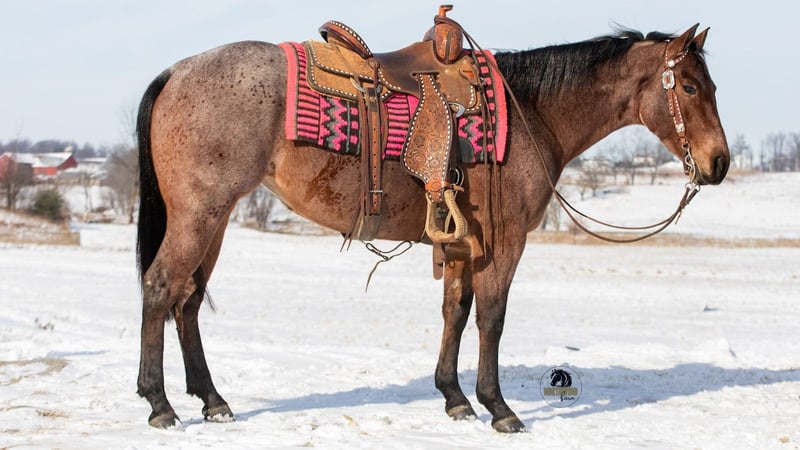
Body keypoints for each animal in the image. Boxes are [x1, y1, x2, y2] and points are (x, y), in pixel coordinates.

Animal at [135, 23, 729, 433]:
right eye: (691, 88)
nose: (719, 162)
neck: (532, 111)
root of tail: (176, 72)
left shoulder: (464, 242)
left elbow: (455, 312)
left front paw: (454, 397)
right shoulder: (504, 242)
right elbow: (491, 318)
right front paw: (498, 407)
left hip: (215, 220)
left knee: (188, 302)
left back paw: (212, 400)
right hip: (199, 214)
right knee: (161, 288)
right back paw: (160, 404)